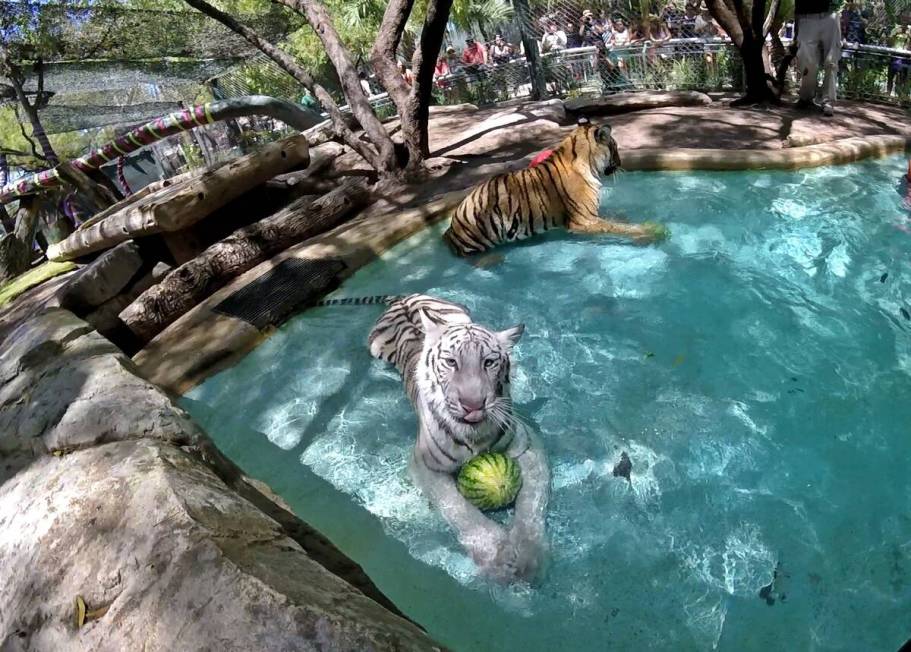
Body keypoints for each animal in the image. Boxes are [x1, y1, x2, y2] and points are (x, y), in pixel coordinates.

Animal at [368, 294, 548, 580]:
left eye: (489, 362)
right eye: (451, 362)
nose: (472, 405)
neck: (476, 435)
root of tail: (404, 298)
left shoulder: (529, 449)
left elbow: (531, 506)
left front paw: (529, 557)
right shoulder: (424, 466)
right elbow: (458, 509)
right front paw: (496, 556)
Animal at [444, 121, 668, 256]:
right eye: (615, 147)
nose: (621, 163)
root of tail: (452, 224)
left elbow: (616, 221)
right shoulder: (583, 220)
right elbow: (617, 228)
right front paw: (650, 231)